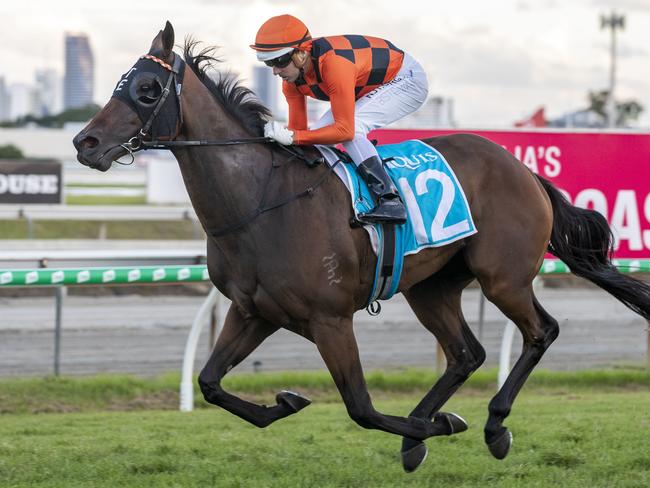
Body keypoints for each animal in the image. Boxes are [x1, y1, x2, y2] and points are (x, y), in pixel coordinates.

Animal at [72, 23, 648, 472]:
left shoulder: (330, 319)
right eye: (122, 83)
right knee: (467, 352)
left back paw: (491, 425)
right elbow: (210, 382)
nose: (84, 143)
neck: (262, 200)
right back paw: (429, 427)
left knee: (540, 332)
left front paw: (438, 426)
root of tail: (522, 169)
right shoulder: (253, 310)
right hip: (431, 286)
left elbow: (361, 408)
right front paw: (287, 402)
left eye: (147, 89)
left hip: (503, 277)